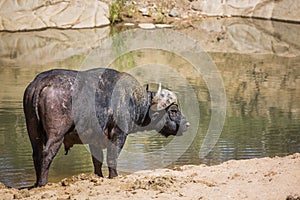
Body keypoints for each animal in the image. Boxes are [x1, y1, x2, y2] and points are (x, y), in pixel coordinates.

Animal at [23, 68, 189, 187]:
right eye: (173, 110)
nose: (187, 124)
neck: (131, 99)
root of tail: (42, 82)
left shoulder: (94, 140)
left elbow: (97, 160)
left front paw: (98, 177)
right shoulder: (119, 134)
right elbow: (112, 157)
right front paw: (114, 176)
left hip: (33, 133)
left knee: (36, 154)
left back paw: (37, 183)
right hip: (56, 135)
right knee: (47, 154)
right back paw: (43, 183)